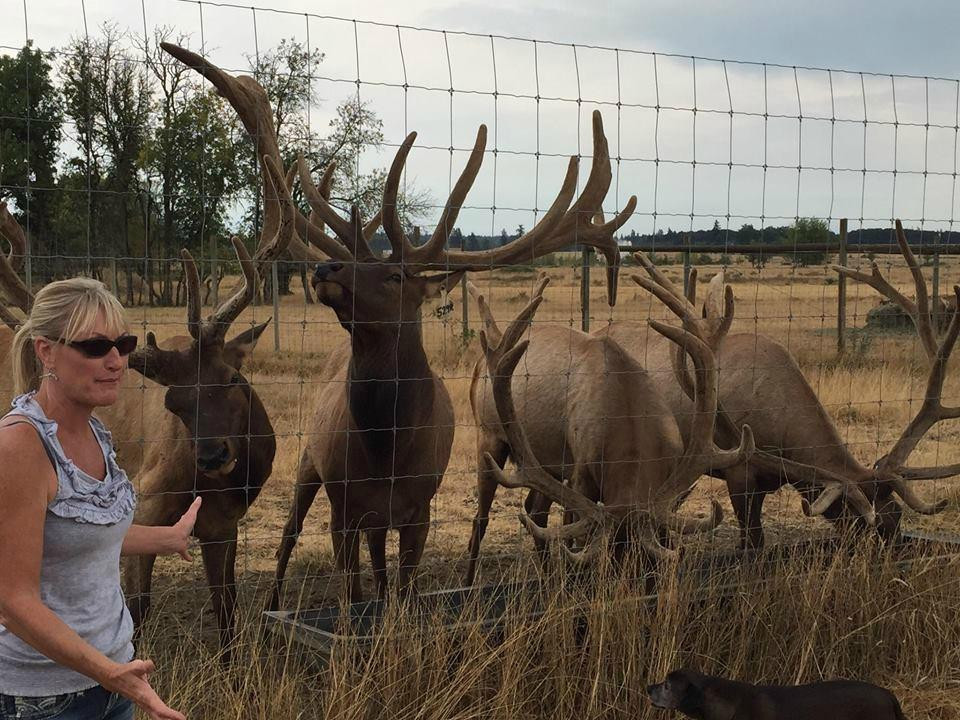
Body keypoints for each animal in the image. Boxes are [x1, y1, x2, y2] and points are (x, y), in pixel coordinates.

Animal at [475, 266, 753, 565]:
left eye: (648, 564)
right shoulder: (580, 474)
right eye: (607, 562)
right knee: (482, 519)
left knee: (535, 510)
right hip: (490, 439)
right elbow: (576, 538)